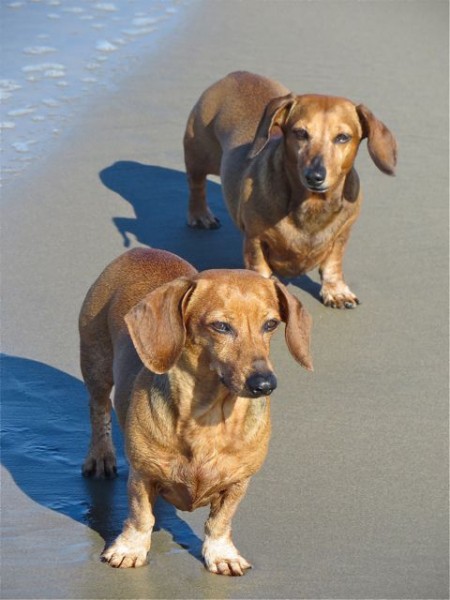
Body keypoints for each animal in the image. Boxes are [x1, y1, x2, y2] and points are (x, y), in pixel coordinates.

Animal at [80, 246, 312, 576]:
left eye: (270, 325)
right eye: (221, 326)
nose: (265, 384)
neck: (208, 416)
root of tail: (144, 250)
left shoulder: (239, 482)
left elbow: (220, 521)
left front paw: (221, 555)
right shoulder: (141, 474)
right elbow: (140, 516)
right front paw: (129, 549)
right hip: (96, 364)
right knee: (98, 410)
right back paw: (100, 457)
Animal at [183, 71, 398, 310]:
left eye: (343, 137)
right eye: (300, 133)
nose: (314, 176)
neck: (312, 203)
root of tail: (237, 74)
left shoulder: (342, 235)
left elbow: (332, 264)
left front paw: (336, 291)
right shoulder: (255, 240)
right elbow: (259, 269)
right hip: (198, 154)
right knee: (196, 185)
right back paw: (201, 215)